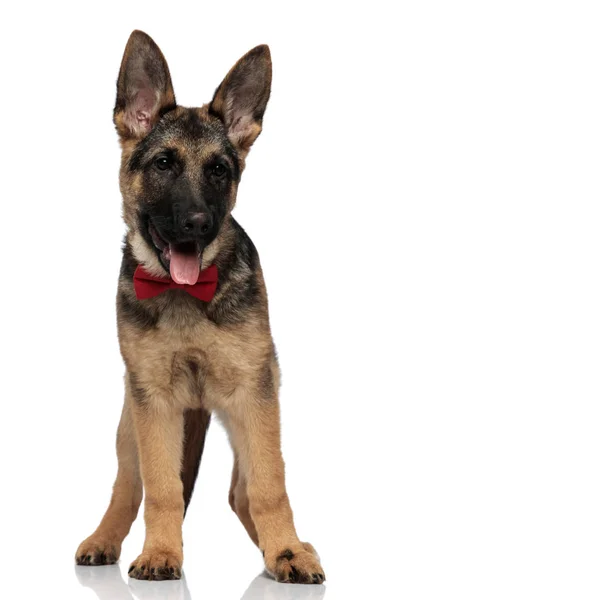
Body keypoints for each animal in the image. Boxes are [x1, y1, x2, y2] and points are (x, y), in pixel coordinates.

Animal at [78, 30, 328, 584]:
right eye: (164, 164)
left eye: (218, 171)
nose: (196, 223)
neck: (186, 297)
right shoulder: (154, 401)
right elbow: (161, 488)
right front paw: (160, 553)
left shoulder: (254, 393)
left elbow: (269, 485)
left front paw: (287, 551)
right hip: (130, 425)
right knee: (127, 486)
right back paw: (104, 539)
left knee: (242, 491)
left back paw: (287, 547)